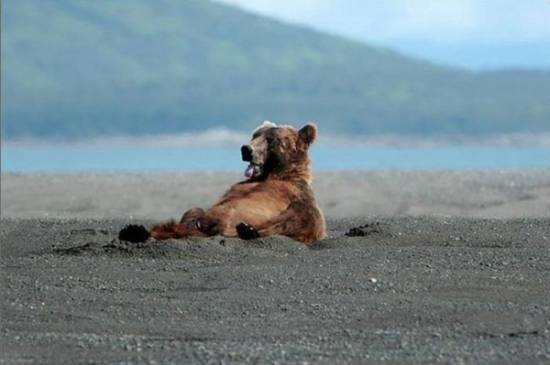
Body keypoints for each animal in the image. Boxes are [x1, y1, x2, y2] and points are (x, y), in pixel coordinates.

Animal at [144, 121, 326, 245]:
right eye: (255, 135)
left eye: (271, 139)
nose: (246, 149)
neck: (273, 175)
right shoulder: (236, 189)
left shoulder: (297, 196)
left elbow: (306, 221)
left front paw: (249, 229)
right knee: (194, 211)